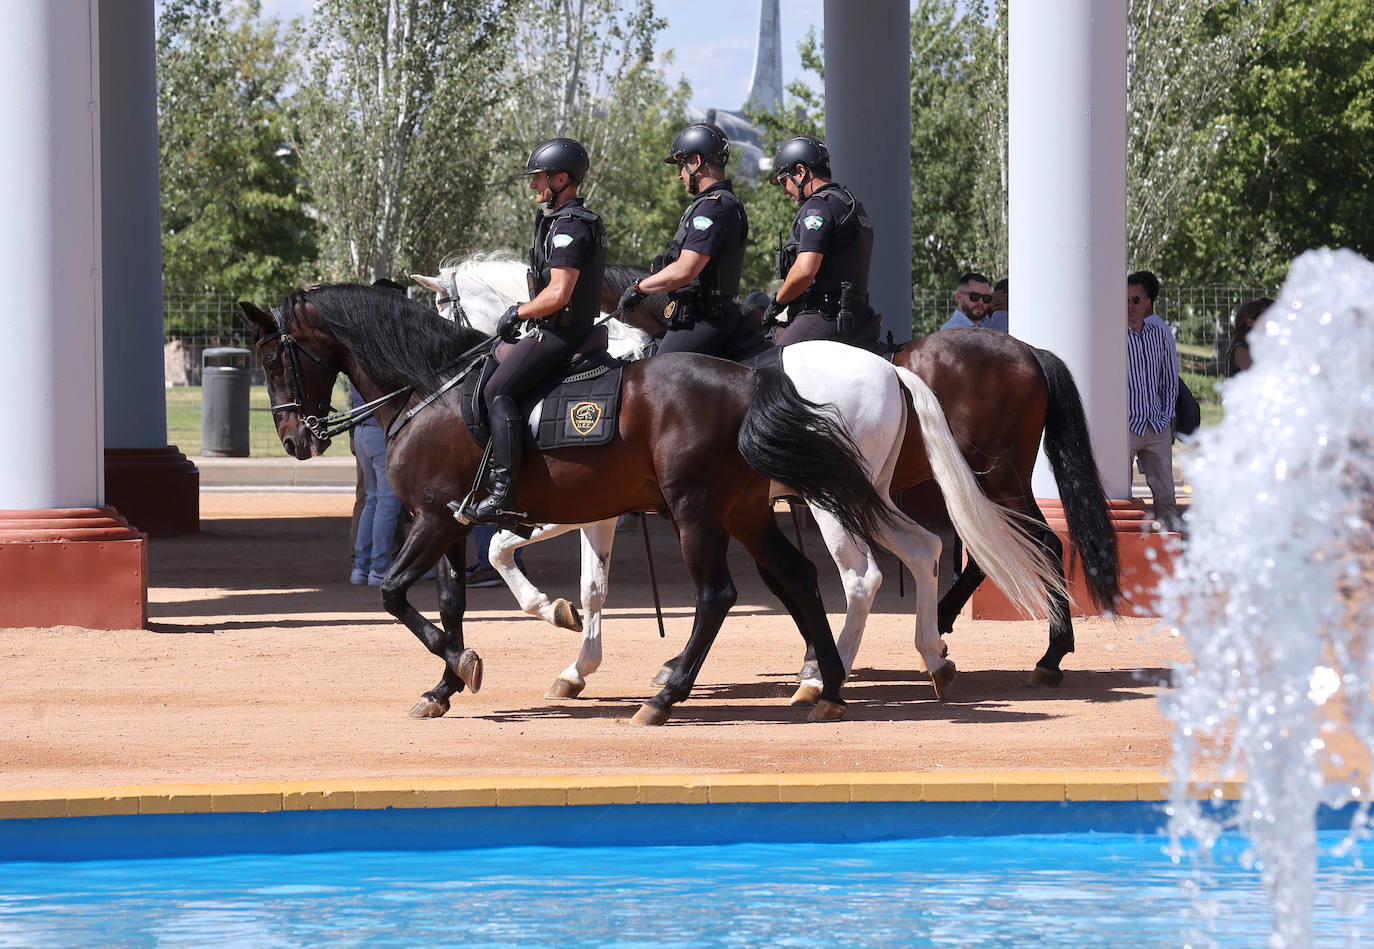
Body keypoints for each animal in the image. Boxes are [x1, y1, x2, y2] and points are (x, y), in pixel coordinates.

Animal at [239, 285, 901, 725]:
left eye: (272, 359)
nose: (295, 440)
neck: (429, 391)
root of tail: (749, 380)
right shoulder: (452, 524)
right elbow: (451, 603)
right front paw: (444, 685)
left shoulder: (434, 520)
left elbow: (394, 593)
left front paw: (467, 662)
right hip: (745, 512)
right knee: (799, 578)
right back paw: (827, 688)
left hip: (698, 511)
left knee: (724, 594)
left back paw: (667, 696)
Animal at [409, 256, 1060, 700]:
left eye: (440, 309)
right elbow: (580, 580)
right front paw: (575, 658)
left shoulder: (582, 506)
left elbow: (507, 548)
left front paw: (558, 622)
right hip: (898, 493)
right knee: (940, 550)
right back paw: (935, 651)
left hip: (900, 493)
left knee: (886, 572)